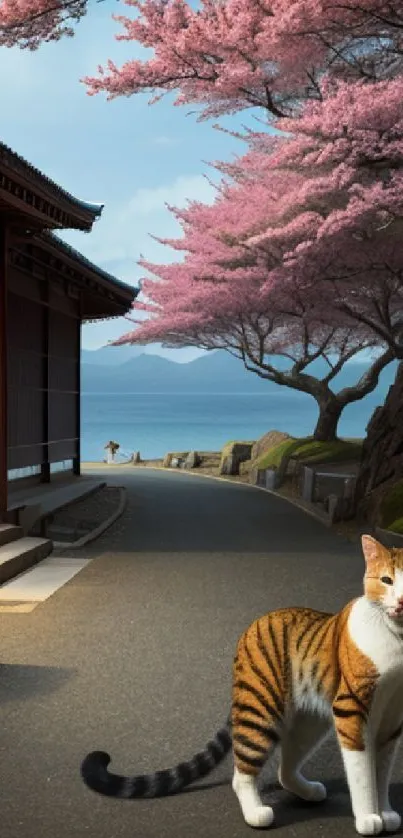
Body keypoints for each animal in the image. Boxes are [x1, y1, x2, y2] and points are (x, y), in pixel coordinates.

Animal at [81, 536, 403, 836]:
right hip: (262, 710)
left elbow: (382, 770)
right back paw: (255, 813)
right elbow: (363, 772)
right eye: (387, 580)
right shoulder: (352, 710)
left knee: (286, 766)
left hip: (310, 720)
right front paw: (368, 817)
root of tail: (255, 624)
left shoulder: (391, 722)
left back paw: (308, 791)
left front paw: (386, 812)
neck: (398, 639)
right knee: (242, 773)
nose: (400, 601)